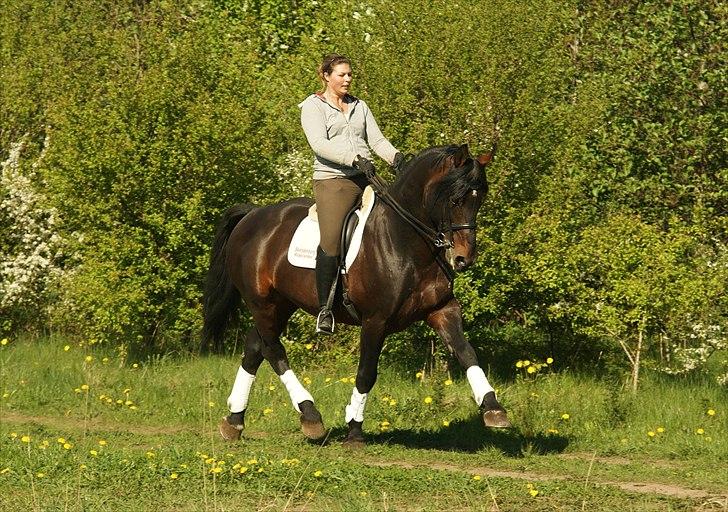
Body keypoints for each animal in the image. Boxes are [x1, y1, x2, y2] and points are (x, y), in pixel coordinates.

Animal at [200, 143, 512, 444]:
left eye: (480, 199)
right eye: (456, 199)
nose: (463, 259)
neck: (406, 241)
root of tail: (252, 215)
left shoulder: (442, 309)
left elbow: (466, 352)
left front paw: (493, 408)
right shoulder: (376, 320)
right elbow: (366, 372)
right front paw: (354, 429)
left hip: (280, 303)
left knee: (255, 347)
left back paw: (234, 421)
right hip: (262, 302)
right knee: (272, 349)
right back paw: (310, 416)